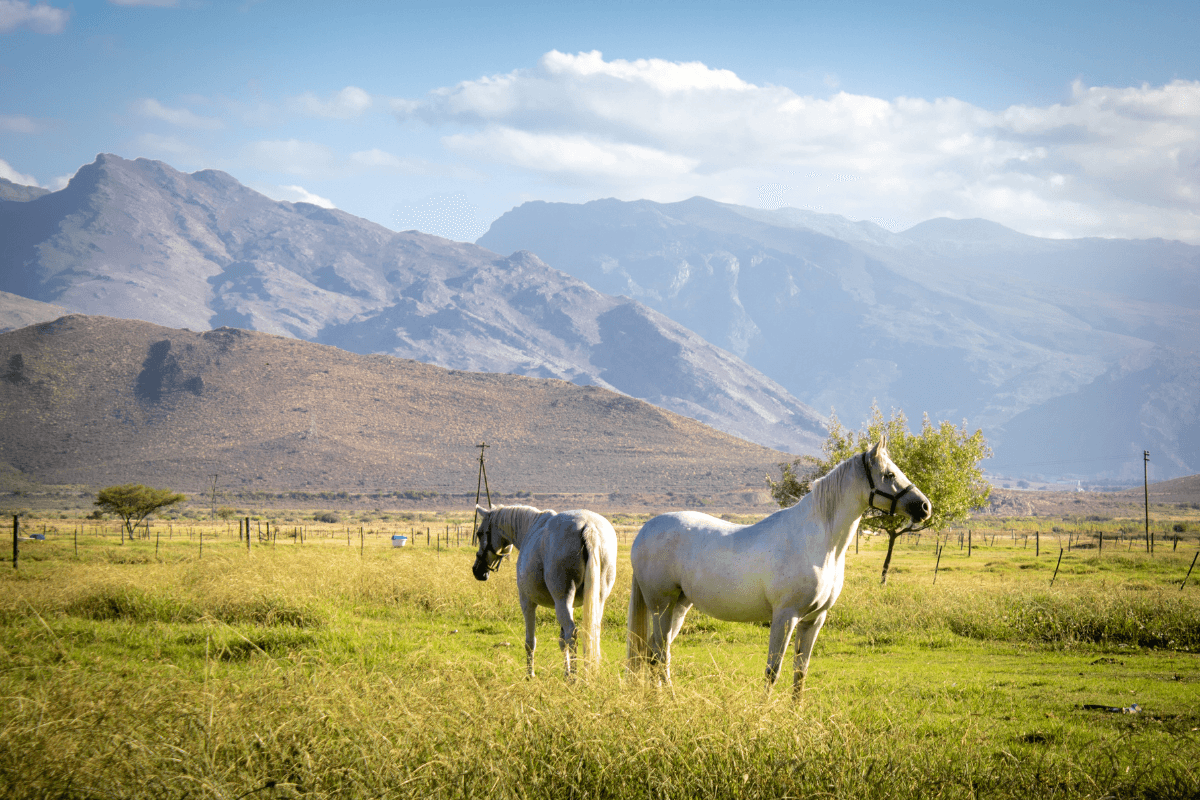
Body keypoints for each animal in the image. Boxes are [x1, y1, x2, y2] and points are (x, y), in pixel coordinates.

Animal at [472, 504, 619, 678]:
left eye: (480, 533)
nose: (477, 571)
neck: (530, 528)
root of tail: (588, 526)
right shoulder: (571, 605)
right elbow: (562, 641)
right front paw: (565, 672)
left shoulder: (527, 602)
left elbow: (530, 642)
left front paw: (530, 674)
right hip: (595, 601)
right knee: (590, 632)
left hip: (562, 601)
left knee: (572, 633)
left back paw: (575, 678)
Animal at [626, 438, 931, 697]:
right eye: (889, 475)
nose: (925, 507)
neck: (819, 543)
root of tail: (644, 530)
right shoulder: (786, 616)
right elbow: (773, 671)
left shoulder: (814, 619)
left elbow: (800, 672)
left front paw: (796, 717)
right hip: (661, 605)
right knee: (659, 654)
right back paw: (671, 700)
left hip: (679, 606)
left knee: (653, 651)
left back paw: (657, 701)